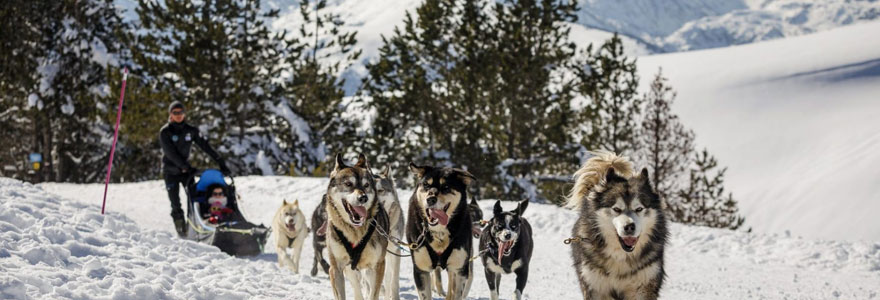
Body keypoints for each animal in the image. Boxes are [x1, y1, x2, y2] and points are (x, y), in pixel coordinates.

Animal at [324, 154, 390, 298]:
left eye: (366, 185)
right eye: (348, 184)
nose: (363, 198)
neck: (355, 232)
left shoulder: (378, 266)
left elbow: (373, 294)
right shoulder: (336, 268)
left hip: (369, 271)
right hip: (350, 270)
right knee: (357, 288)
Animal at [404, 163, 474, 300]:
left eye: (446, 187)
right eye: (426, 185)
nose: (431, 199)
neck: (439, 234)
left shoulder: (460, 270)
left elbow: (455, 292)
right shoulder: (421, 270)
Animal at [568, 151, 672, 298]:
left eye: (639, 209)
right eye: (616, 209)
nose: (629, 227)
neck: (621, 258)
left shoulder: (644, 287)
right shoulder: (596, 288)